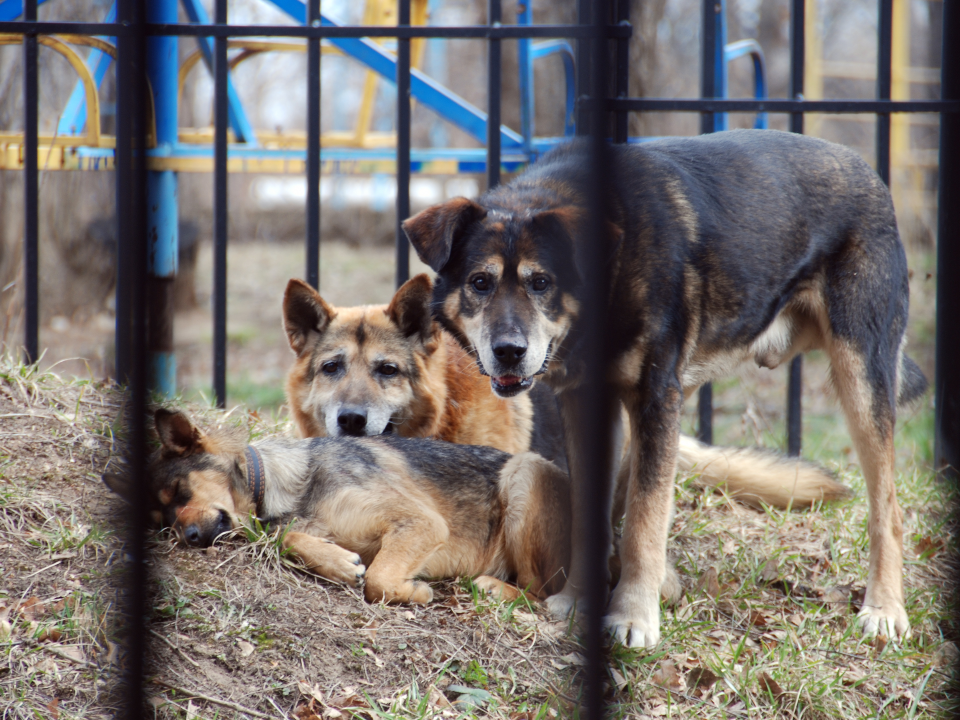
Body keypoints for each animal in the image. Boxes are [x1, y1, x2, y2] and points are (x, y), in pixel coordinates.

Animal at [102, 410, 572, 600]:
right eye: (161, 523)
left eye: (180, 491)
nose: (190, 537)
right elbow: (291, 540)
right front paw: (338, 563)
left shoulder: (421, 522)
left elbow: (379, 581)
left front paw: (413, 592)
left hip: (524, 474)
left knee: (544, 594)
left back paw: (495, 588)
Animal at [402, 129, 928, 648]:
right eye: (480, 282)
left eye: (541, 282)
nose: (509, 351)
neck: (609, 271)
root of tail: (866, 170)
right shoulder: (592, 404)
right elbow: (590, 514)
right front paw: (577, 601)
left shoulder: (655, 397)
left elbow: (645, 521)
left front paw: (633, 618)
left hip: (859, 376)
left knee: (888, 509)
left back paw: (885, 610)